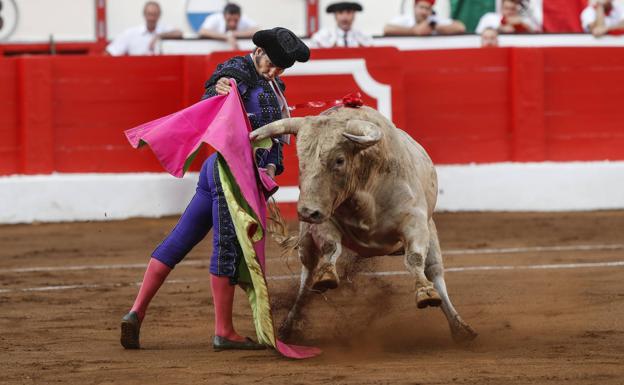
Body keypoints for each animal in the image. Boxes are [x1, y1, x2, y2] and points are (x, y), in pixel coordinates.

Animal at [251, 105, 476, 342]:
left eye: (339, 160)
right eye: (300, 159)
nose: (306, 211)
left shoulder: (415, 221)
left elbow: (414, 258)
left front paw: (425, 292)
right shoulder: (324, 219)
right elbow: (330, 247)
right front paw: (327, 275)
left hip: (431, 231)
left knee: (434, 271)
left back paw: (460, 327)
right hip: (306, 240)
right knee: (307, 276)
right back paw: (289, 325)